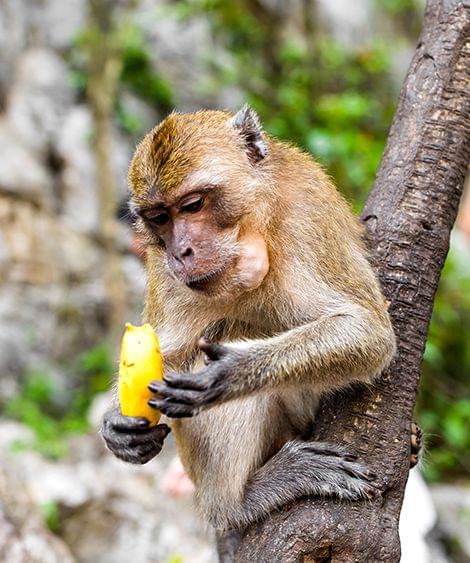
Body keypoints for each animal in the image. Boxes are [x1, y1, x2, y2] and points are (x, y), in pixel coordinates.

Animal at [101, 103, 398, 548]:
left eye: (193, 205)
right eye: (160, 217)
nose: (181, 251)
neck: (254, 227)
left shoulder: (306, 218)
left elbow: (369, 332)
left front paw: (230, 373)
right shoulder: (163, 269)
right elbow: (169, 354)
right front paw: (115, 423)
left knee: (231, 329)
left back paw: (236, 503)